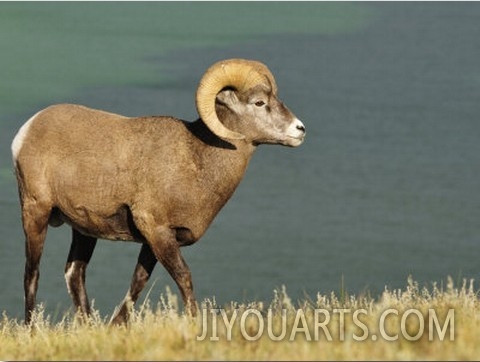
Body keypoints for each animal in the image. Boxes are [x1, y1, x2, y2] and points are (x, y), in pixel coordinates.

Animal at [11, 58, 306, 324]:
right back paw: (31, 329)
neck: (197, 159)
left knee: (74, 273)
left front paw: (117, 325)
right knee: (31, 273)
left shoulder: (156, 240)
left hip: (84, 229)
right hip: (35, 212)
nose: (300, 129)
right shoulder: (157, 229)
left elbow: (138, 281)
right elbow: (184, 277)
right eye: (259, 102)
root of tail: (26, 131)